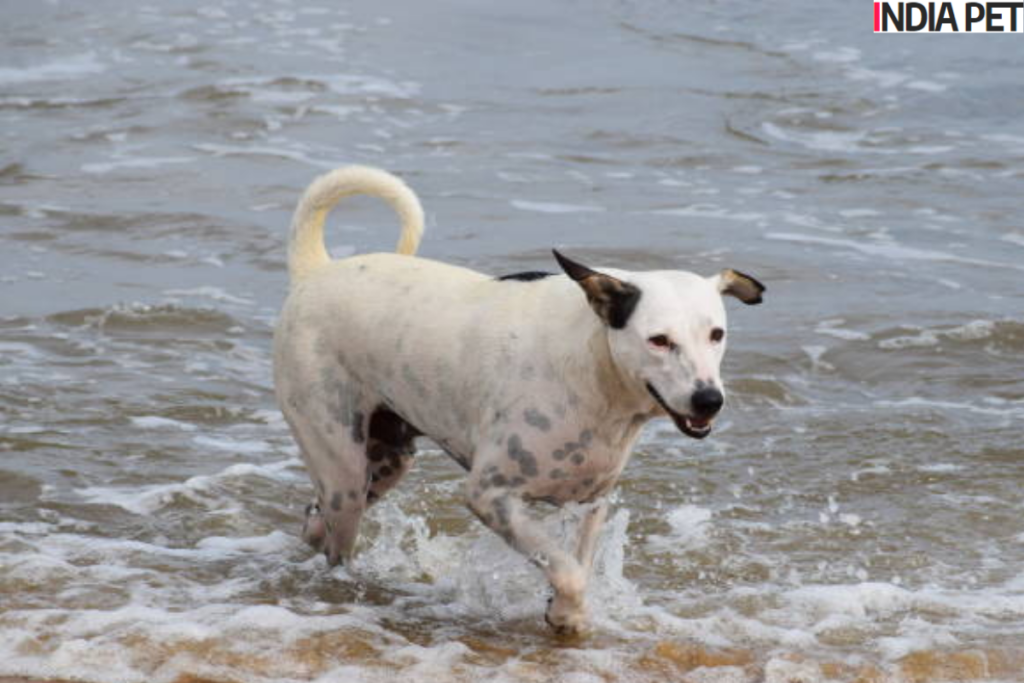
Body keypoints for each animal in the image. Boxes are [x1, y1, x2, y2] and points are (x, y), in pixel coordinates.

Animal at [272, 165, 761, 634]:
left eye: (716, 334)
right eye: (659, 340)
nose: (708, 399)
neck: (595, 371)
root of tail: (317, 272)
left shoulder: (590, 502)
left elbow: (578, 562)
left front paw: (566, 616)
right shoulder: (491, 495)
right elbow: (568, 571)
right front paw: (565, 611)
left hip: (387, 459)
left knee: (315, 520)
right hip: (344, 471)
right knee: (337, 536)